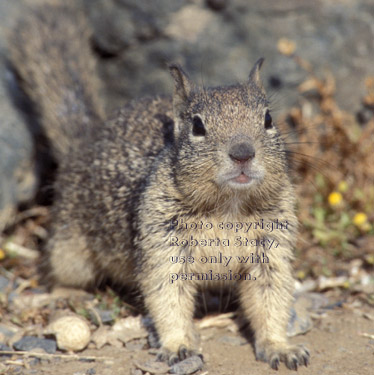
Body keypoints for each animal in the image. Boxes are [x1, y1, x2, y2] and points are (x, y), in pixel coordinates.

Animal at [9, 2, 310, 370]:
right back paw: (71, 294)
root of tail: (86, 142)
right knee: (59, 273)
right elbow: (167, 298)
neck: (228, 205)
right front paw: (179, 345)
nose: (243, 153)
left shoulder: (272, 248)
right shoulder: (162, 243)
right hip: (70, 248)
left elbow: (272, 300)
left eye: (268, 119)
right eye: (197, 126)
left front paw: (281, 347)